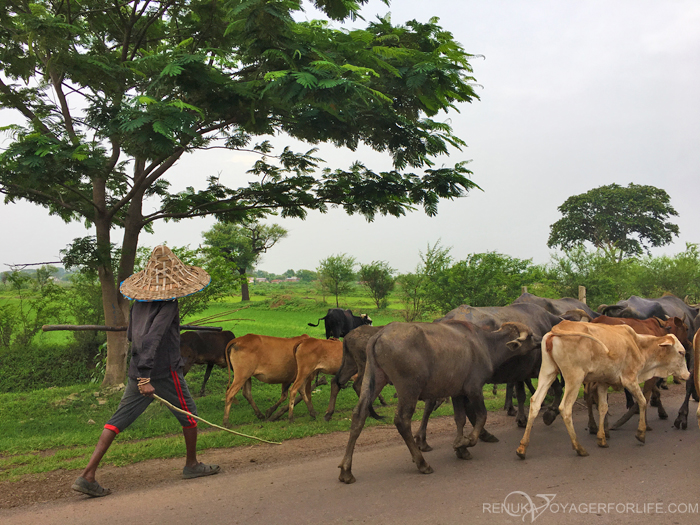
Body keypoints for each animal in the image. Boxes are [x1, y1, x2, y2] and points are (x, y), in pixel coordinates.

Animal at [516, 320, 688, 458]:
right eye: (681, 352)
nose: (687, 374)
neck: (638, 345)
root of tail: (558, 327)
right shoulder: (630, 379)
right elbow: (642, 401)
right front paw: (641, 433)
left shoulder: (603, 382)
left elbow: (603, 407)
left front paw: (602, 438)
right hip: (574, 378)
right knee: (565, 408)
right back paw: (579, 448)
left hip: (548, 371)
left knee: (535, 402)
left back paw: (522, 447)